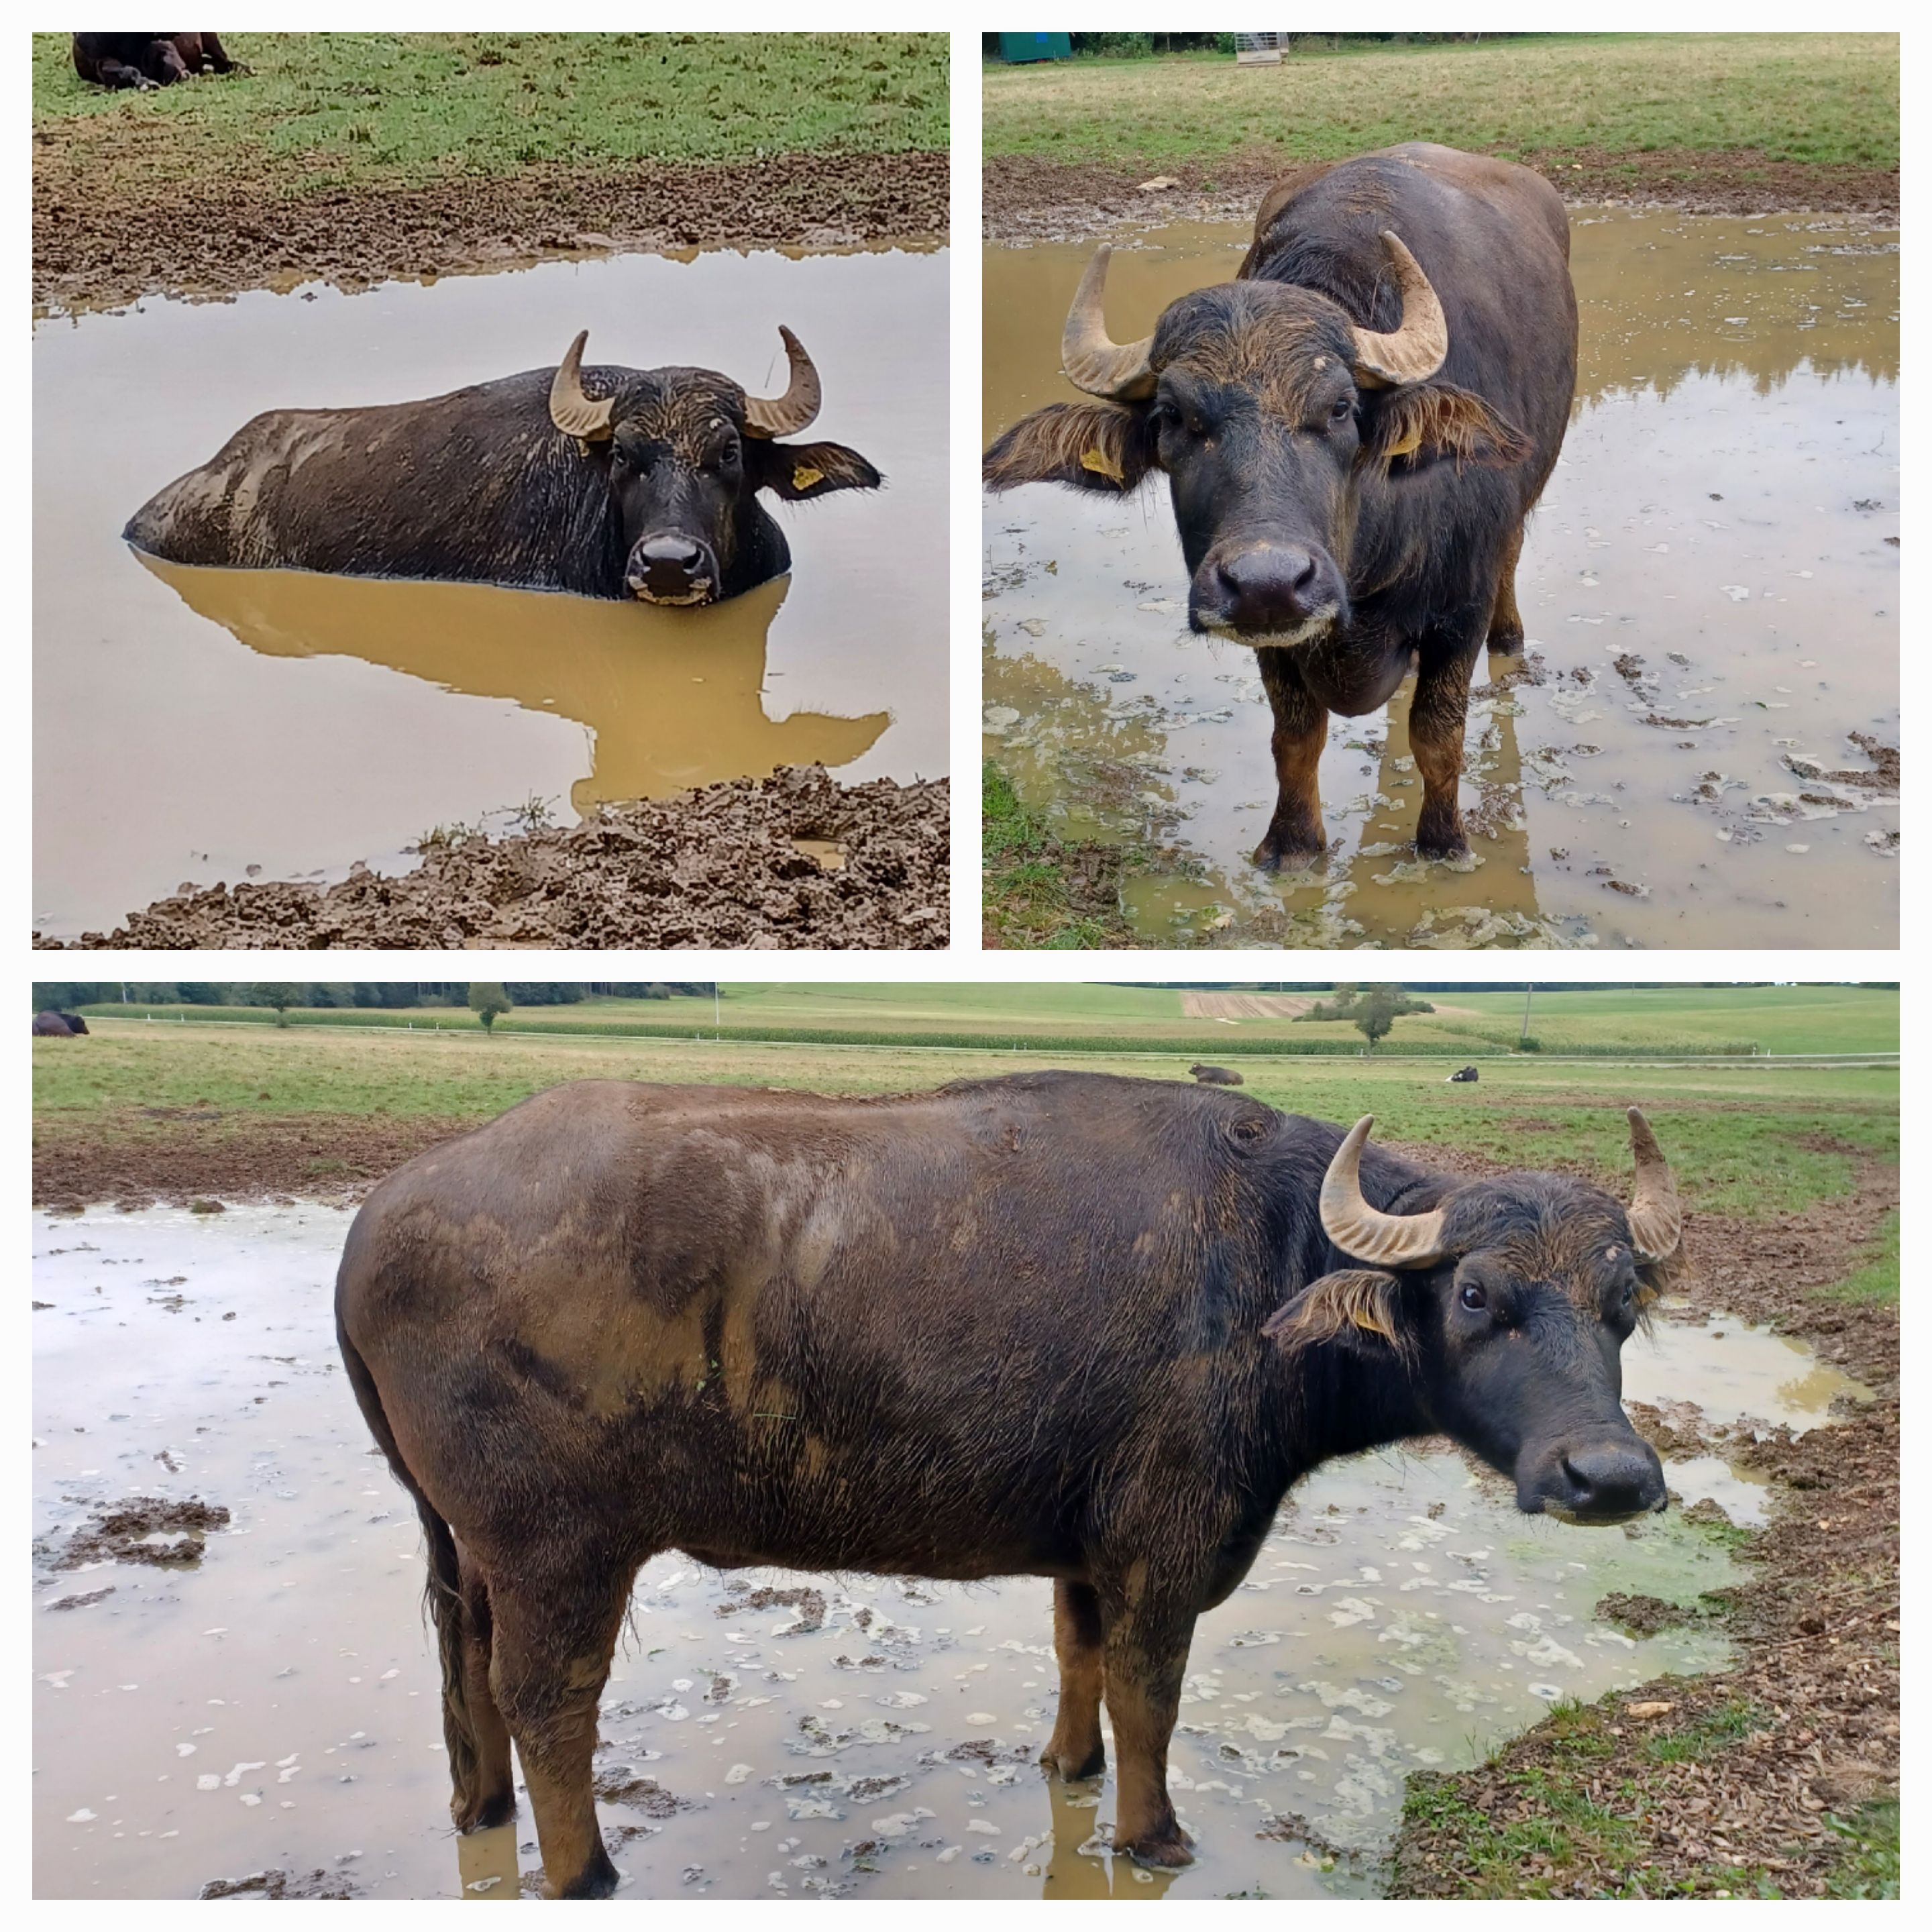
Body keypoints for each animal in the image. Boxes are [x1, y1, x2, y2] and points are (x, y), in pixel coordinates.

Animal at [336, 1081, 1676, 1893]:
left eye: (1626, 1302)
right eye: (1476, 1295)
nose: (1608, 1476)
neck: (1271, 1266)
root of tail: (376, 1222)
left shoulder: (1087, 1549)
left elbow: (1079, 1664)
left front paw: (1068, 1771)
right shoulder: (1163, 1551)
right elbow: (1150, 1700)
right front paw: (1152, 1834)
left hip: (468, 1544)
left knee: (467, 1672)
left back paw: (481, 1815)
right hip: (559, 1549)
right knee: (546, 1701)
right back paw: (585, 1871)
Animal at [989, 146, 1576, 873]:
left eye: (1341, 408)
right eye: (1172, 417)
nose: (1267, 582)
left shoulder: (1459, 607)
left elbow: (1438, 735)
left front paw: (1443, 844)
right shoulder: (1271, 633)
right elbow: (1295, 736)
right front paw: (1292, 844)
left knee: (1514, 558)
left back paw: (1512, 643)